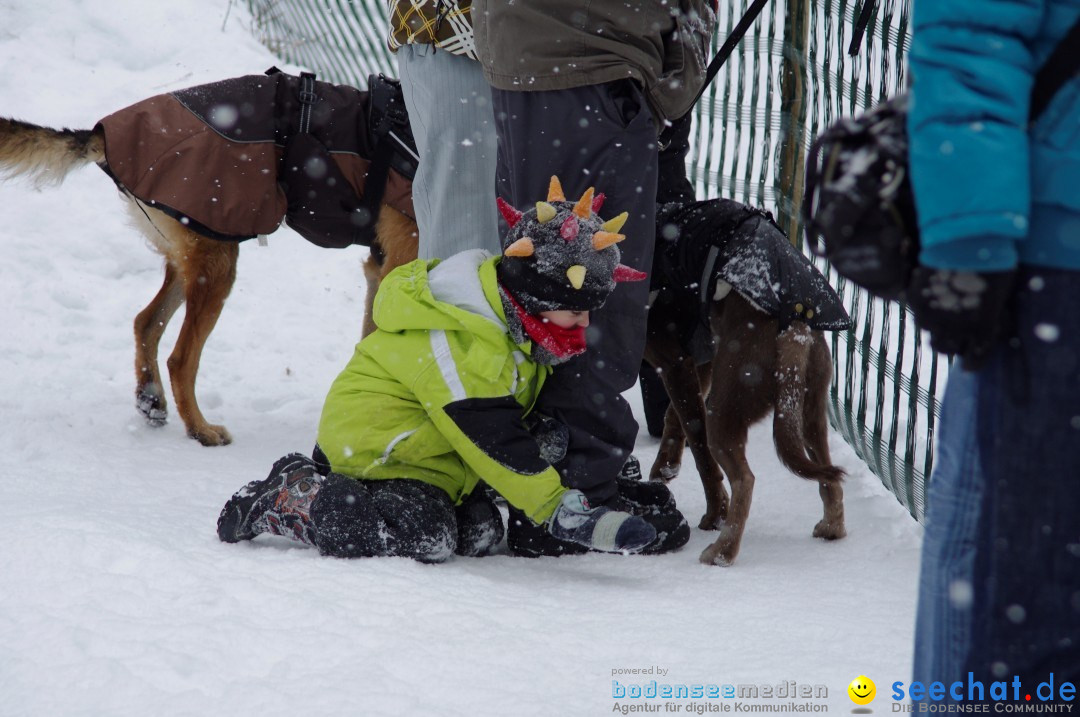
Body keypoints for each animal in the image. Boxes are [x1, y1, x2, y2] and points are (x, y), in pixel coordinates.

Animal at [0, 71, 416, 449]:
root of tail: (106, 132)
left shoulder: (378, 271)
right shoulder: (397, 266)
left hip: (193, 259)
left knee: (146, 322)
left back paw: (151, 398)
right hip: (217, 263)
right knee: (181, 359)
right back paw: (200, 429)